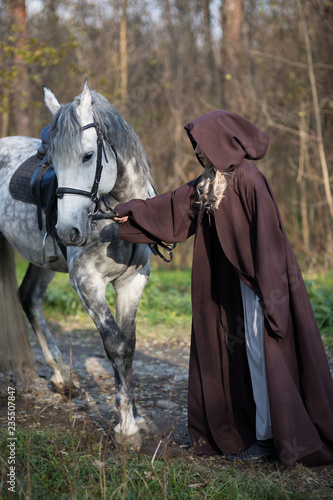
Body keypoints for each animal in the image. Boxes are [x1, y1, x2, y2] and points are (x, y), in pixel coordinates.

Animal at [0, 78, 155, 438]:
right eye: (53, 160)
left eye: (87, 156)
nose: (68, 230)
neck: (120, 218)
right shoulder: (87, 282)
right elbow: (114, 343)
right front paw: (126, 428)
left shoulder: (133, 281)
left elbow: (129, 344)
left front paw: (134, 414)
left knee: (29, 298)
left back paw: (62, 376)